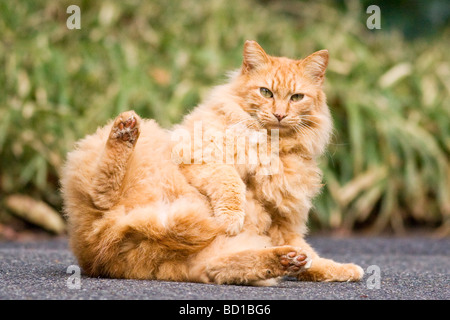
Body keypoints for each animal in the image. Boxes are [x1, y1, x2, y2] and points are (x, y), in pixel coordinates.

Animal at [60, 40, 362, 284]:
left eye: (297, 97)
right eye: (266, 92)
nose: (279, 115)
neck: (273, 146)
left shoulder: (285, 226)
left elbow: (316, 259)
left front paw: (343, 270)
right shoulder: (198, 153)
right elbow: (231, 182)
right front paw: (231, 218)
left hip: (200, 259)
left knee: (226, 268)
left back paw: (287, 260)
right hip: (108, 171)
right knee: (102, 192)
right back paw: (125, 131)